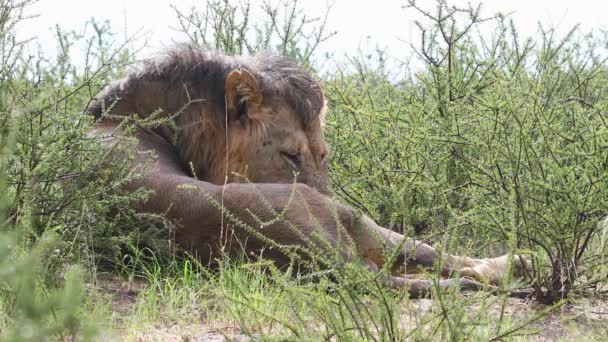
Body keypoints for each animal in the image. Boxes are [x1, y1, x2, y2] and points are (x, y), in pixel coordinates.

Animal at [86, 44, 528, 296]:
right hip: (348, 219)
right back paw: (517, 264)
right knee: (424, 254)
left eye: (323, 155)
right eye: (290, 155)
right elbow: (427, 249)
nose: (324, 192)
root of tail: (333, 261)